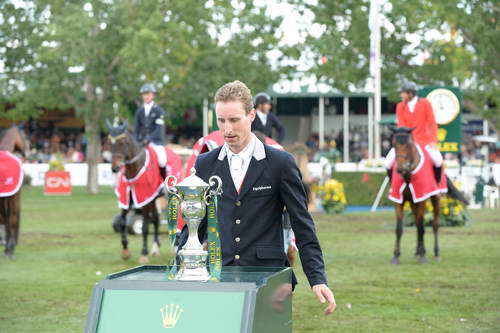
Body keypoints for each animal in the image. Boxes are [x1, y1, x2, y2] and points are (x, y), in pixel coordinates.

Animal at [107, 120, 162, 264]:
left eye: (122, 143)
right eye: (109, 143)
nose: (115, 168)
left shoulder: (145, 201)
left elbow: (144, 227)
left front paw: (144, 253)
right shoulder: (127, 200)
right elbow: (122, 222)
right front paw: (125, 250)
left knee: (155, 220)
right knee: (156, 219)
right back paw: (155, 247)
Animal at [390, 126, 442, 264]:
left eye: (408, 145)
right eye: (394, 144)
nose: (400, 169)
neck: (408, 174)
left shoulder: (421, 199)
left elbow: (422, 228)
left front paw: (423, 256)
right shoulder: (398, 200)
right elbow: (399, 229)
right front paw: (395, 256)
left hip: (435, 199)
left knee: (434, 224)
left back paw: (436, 253)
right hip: (413, 203)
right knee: (418, 223)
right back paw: (418, 251)